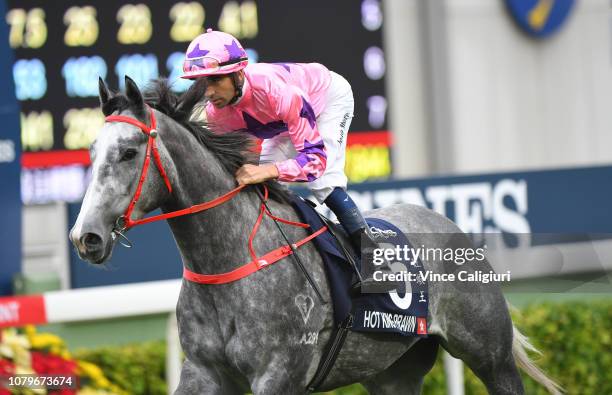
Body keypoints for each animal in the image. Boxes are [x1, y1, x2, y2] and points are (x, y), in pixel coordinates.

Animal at [69, 76, 560, 394]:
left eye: (128, 152)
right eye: (91, 151)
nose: (85, 236)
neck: (232, 261)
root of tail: (449, 225)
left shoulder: (279, 373)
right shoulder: (204, 372)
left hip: (489, 354)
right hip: (393, 371)